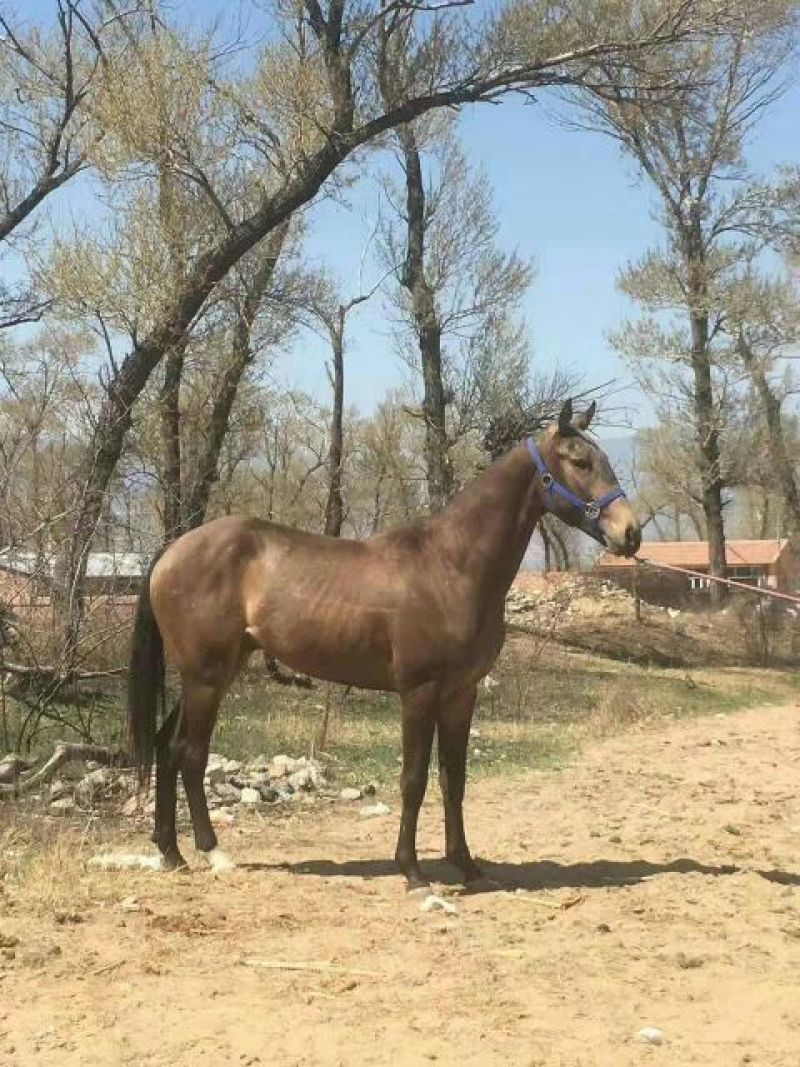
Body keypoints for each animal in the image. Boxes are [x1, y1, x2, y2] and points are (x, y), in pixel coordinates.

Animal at [128, 399, 640, 888]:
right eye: (580, 461)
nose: (630, 533)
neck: (451, 565)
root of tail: (173, 549)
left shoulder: (461, 694)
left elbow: (454, 778)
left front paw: (467, 866)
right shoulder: (419, 692)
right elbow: (413, 780)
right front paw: (411, 870)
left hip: (216, 673)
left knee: (167, 748)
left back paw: (171, 854)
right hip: (204, 678)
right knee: (191, 755)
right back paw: (213, 852)